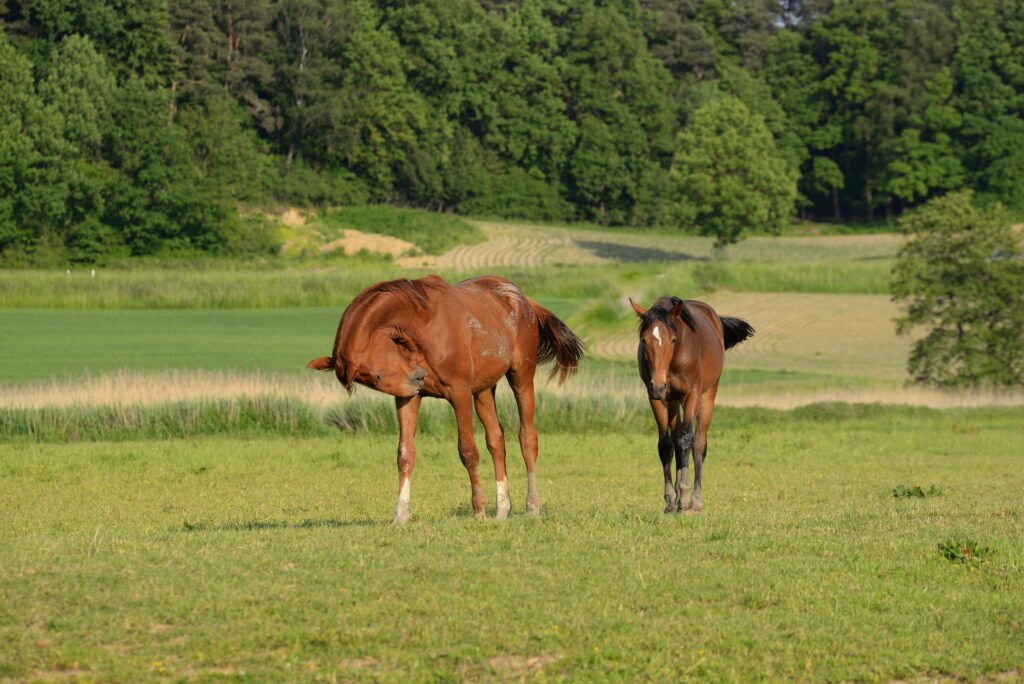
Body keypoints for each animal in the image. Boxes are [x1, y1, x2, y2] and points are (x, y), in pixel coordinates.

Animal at [308, 275, 585, 524]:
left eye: (376, 376)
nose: (419, 377)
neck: (423, 325)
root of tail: (522, 299)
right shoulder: (408, 397)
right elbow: (405, 454)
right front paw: (400, 515)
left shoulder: (459, 392)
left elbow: (468, 451)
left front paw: (479, 509)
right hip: (484, 390)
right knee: (496, 439)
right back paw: (502, 510)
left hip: (521, 376)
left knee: (527, 438)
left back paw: (531, 506)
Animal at [629, 296, 754, 513]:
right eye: (644, 340)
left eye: (673, 339)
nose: (658, 384)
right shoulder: (657, 398)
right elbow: (666, 445)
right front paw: (671, 501)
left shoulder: (691, 395)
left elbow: (686, 439)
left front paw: (685, 495)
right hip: (672, 401)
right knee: (677, 441)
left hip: (707, 396)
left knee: (698, 444)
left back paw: (695, 501)